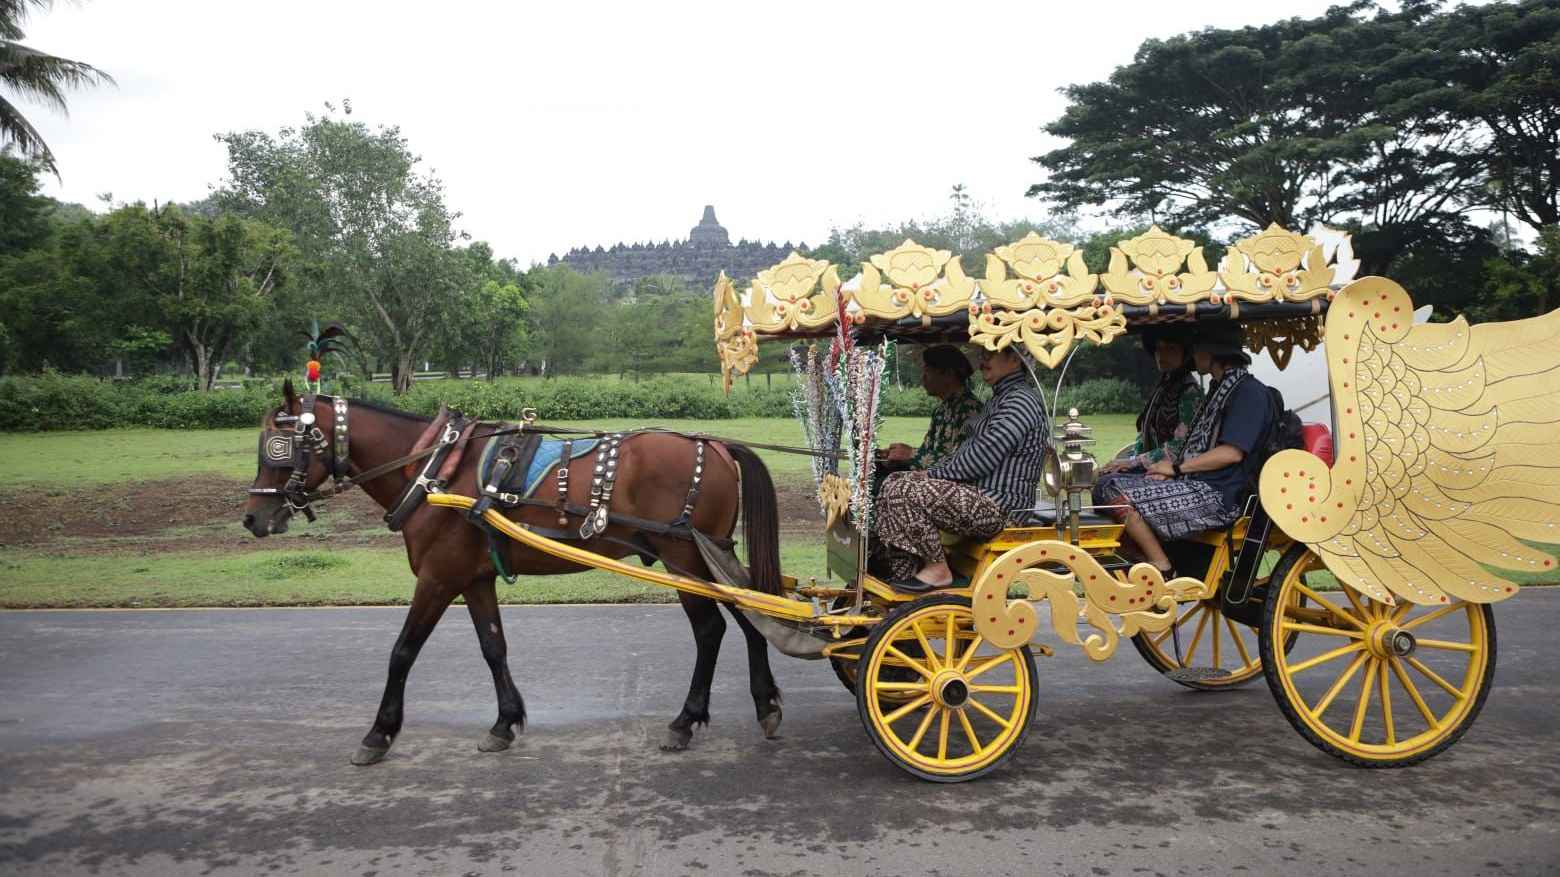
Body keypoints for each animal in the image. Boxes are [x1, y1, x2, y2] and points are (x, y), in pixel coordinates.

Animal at [244, 379, 786, 761]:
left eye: (277, 445)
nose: (253, 518)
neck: (434, 470)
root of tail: (717, 448)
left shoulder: (438, 578)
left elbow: (402, 651)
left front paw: (379, 732)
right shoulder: (473, 577)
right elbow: (493, 647)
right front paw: (504, 723)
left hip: (684, 559)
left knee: (712, 630)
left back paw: (686, 721)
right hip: (708, 557)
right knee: (753, 615)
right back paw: (765, 705)